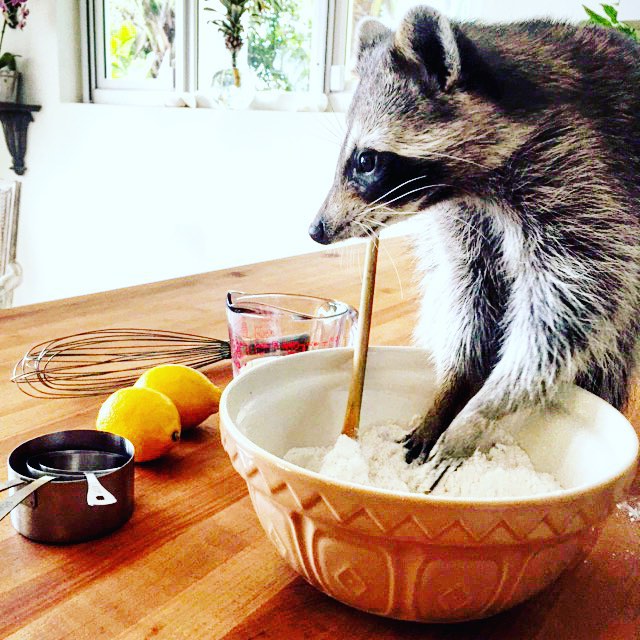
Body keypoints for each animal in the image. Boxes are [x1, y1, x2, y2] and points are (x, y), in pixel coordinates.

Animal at [308, 6, 636, 470]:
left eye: (366, 161)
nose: (316, 230)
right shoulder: (463, 217)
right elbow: (471, 287)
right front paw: (457, 385)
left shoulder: (580, 169)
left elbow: (576, 296)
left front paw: (488, 404)